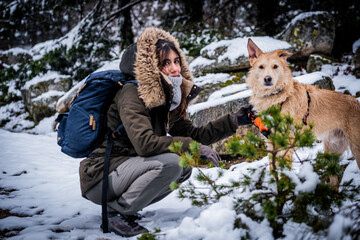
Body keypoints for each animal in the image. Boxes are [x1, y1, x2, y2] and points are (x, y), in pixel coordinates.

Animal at [246, 38, 360, 169]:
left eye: (275, 66)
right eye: (261, 67)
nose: (267, 79)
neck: (276, 98)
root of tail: (357, 102)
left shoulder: (287, 143)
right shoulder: (271, 142)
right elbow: (273, 168)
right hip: (333, 149)